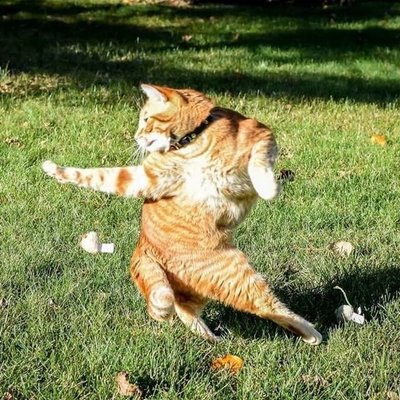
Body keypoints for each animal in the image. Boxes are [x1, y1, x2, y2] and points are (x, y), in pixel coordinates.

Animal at [42, 84, 322, 345]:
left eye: (146, 119)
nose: (136, 136)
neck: (193, 143)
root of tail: (143, 247)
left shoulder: (262, 135)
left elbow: (259, 164)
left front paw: (269, 188)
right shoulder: (144, 178)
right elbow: (97, 175)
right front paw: (54, 170)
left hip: (229, 278)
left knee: (202, 307)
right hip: (224, 278)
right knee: (181, 305)